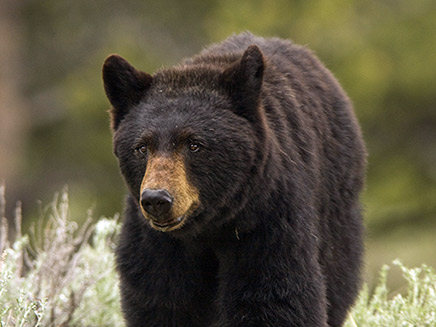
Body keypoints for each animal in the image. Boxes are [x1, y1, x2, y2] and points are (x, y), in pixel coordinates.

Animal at [104, 31, 366, 327]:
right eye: (141, 147)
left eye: (194, 144)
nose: (157, 199)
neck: (209, 227)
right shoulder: (156, 242)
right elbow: (162, 299)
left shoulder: (267, 221)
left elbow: (274, 298)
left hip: (334, 208)